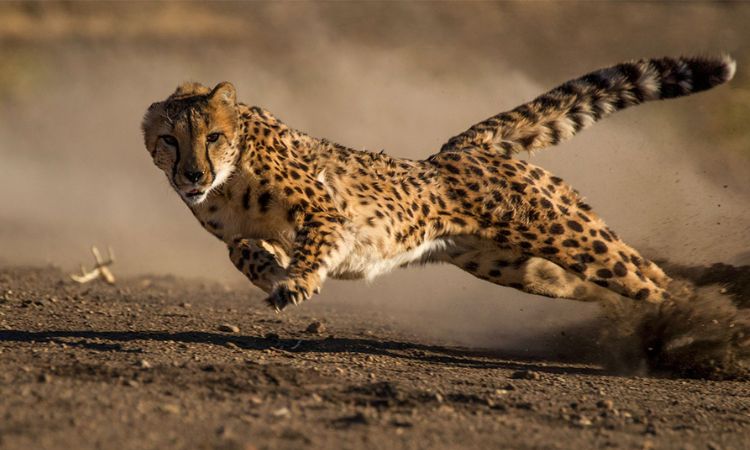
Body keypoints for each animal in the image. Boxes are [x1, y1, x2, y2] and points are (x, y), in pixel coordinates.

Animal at [142, 55, 736, 312]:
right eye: (169, 140)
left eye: (213, 136)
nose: (192, 174)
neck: (229, 180)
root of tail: (463, 147)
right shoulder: (242, 229)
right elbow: (240, 250)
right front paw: (269, 271)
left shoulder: (328, 214)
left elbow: (310, 246)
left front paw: (295, 282)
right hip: (520, 266)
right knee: (630, 282)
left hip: (564, 233)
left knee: (650, 278)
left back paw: (707, 323)